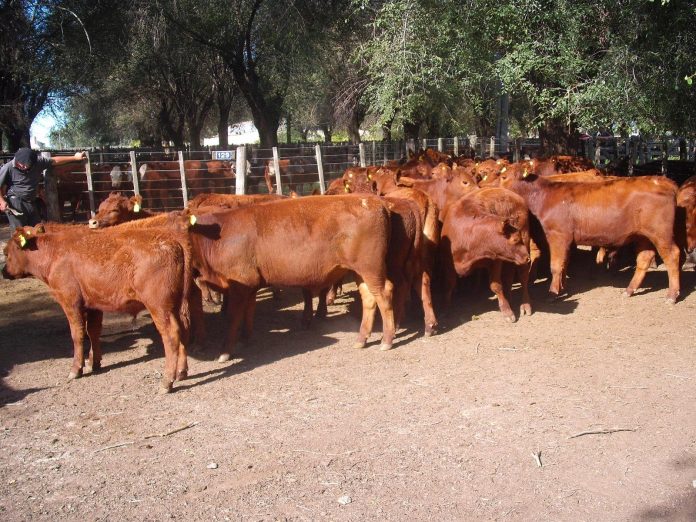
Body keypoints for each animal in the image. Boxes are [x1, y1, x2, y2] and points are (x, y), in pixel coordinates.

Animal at [2, 220, 194, 390]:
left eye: (6, 252)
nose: (3, 272)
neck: (54, 252)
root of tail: (171, 240)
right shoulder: (94, 304)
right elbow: (93, 332)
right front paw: (94, 362)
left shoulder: (70, 302)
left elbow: (77, 335)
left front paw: (76, 369)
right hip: (177, 305)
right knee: (183, 330)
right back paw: (181, 372)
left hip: (159, 307)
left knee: (171, 335)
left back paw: (167, 381)